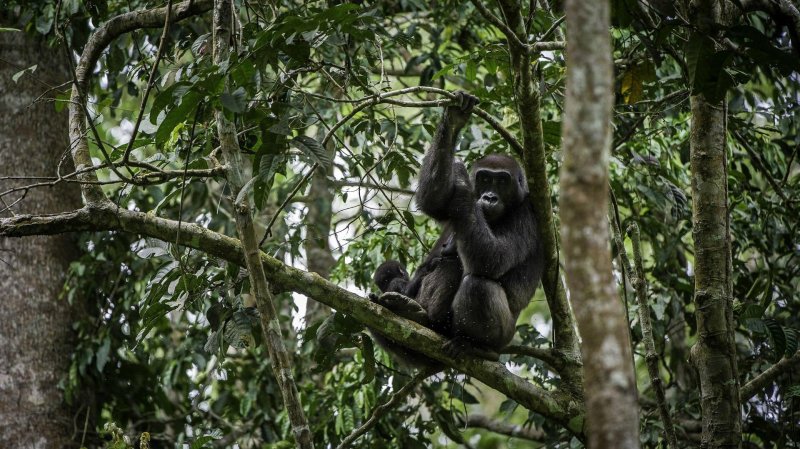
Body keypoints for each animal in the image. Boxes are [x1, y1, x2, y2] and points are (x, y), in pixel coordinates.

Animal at [372, 91, 540, 364]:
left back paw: (476, 346)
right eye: (485, 178)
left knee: (477, 284)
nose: (489, 197)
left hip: (502, 339)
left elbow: (492, 259)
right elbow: (434, 199)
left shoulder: (530, 213)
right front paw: (453, 120)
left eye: (502, 181)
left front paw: (462, 181)